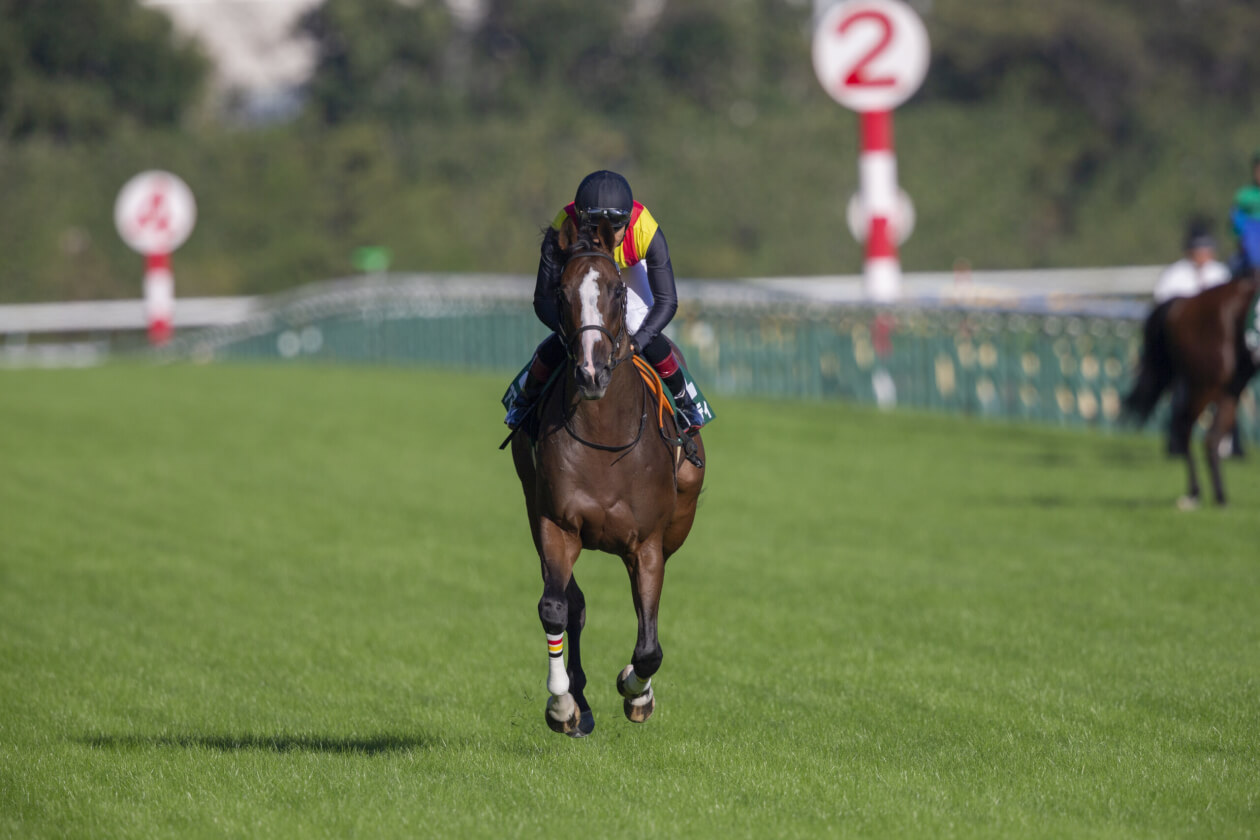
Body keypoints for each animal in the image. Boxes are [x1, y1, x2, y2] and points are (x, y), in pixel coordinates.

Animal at [510, 215, 706, 736]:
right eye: (561, 292)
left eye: (617, 291)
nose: (591, 372)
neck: (604, 432)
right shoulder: (555, 524)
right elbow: (556, 607)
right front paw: (562, 703)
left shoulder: (649, 543)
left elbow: (649, 644)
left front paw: (636, 692)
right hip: (532, 505)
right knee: (572, 604)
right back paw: (578, 701)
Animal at [1123, 271, 1260, 507]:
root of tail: (1184, 302)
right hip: (1206, 382)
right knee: (1185, 426)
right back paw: (1196, 493)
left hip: (1230, 386)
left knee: (1211, 437)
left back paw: (1219, 495)